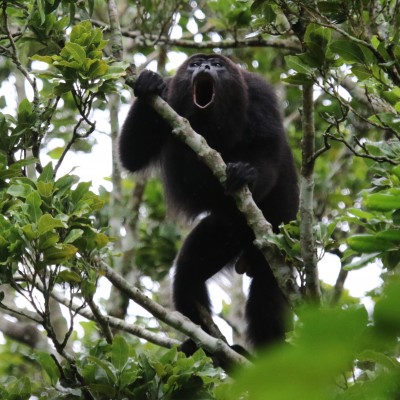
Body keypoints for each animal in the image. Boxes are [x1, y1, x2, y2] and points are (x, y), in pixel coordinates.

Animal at [118, 54, 296, 354]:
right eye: (194, 64)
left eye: (218, 65)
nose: (205, 66)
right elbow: (131, 155)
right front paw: (149, 82)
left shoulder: (260, 94)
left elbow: (269, 150)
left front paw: (245, 173)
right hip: (225, 232)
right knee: (187, 277)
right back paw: (206, 346)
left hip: (278, 237)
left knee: (267, 289)